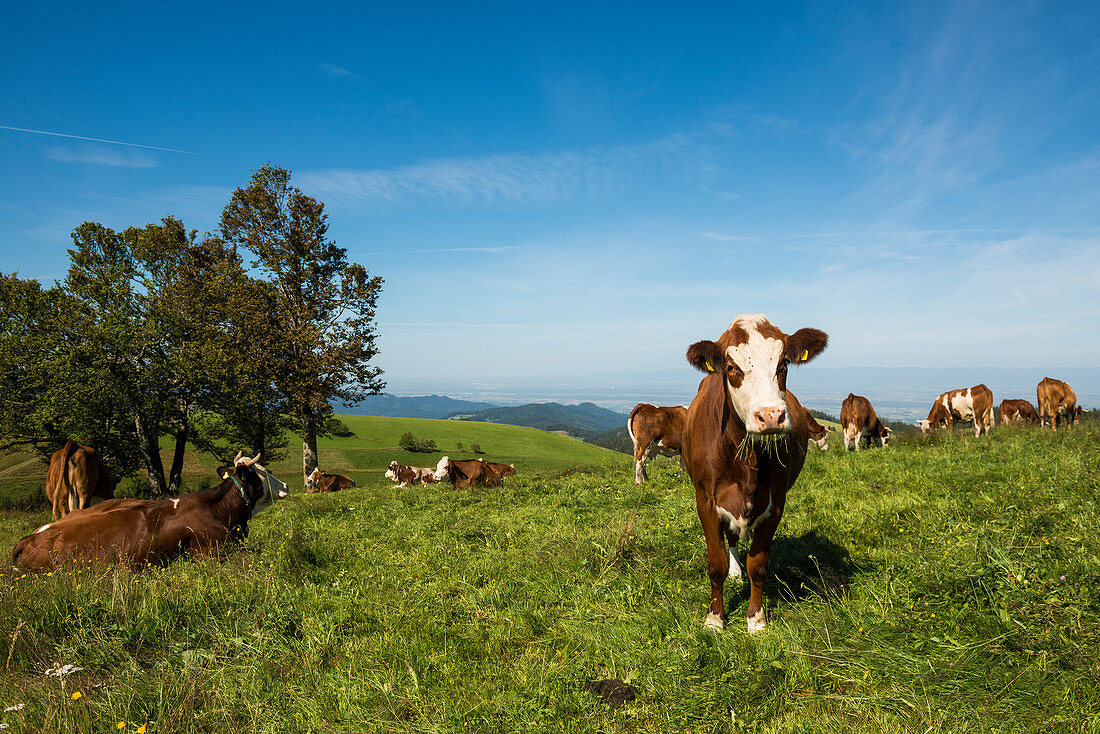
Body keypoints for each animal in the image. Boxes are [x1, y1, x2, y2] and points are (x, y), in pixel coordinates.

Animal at [677, 312, 827, 633]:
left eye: (783, 365)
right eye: (732, 368)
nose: (770, 416)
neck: (747, 460)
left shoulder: (776, 502)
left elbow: (758, 565)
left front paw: (756, 619)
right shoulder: (705, 500)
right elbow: (716, 563)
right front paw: (715, 618)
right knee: (731, 539)